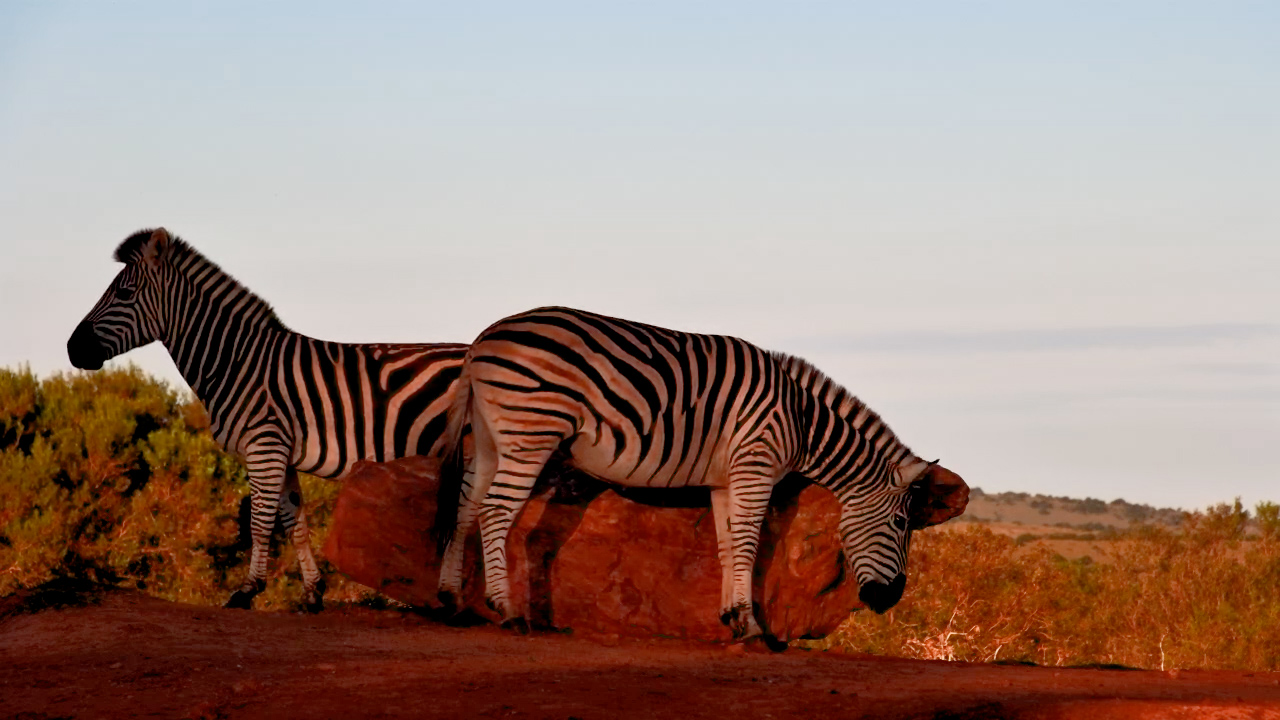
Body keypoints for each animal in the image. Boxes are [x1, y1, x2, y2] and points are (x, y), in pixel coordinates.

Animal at [67, 228, 468, 612]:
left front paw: (247, 591)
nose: (72, 349)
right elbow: (294, 522)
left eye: (124, 293)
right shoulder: (283, 453)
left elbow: (259, 521)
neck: (237, 361)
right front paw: (313, 593)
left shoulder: (264, 444)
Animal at [436, 306, 968, 639]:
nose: (892, 598)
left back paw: (451, 599)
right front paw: (752, 626)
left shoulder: (724, 479)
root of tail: (483, 339)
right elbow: (749, 544)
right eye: (901, 524)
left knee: (464, 507)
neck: (801, 420)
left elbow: (728, 543)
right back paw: (507, 612)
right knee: (494, 512)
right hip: (532, 431)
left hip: (489, 437)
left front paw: (732, 617)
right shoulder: (755, 464)